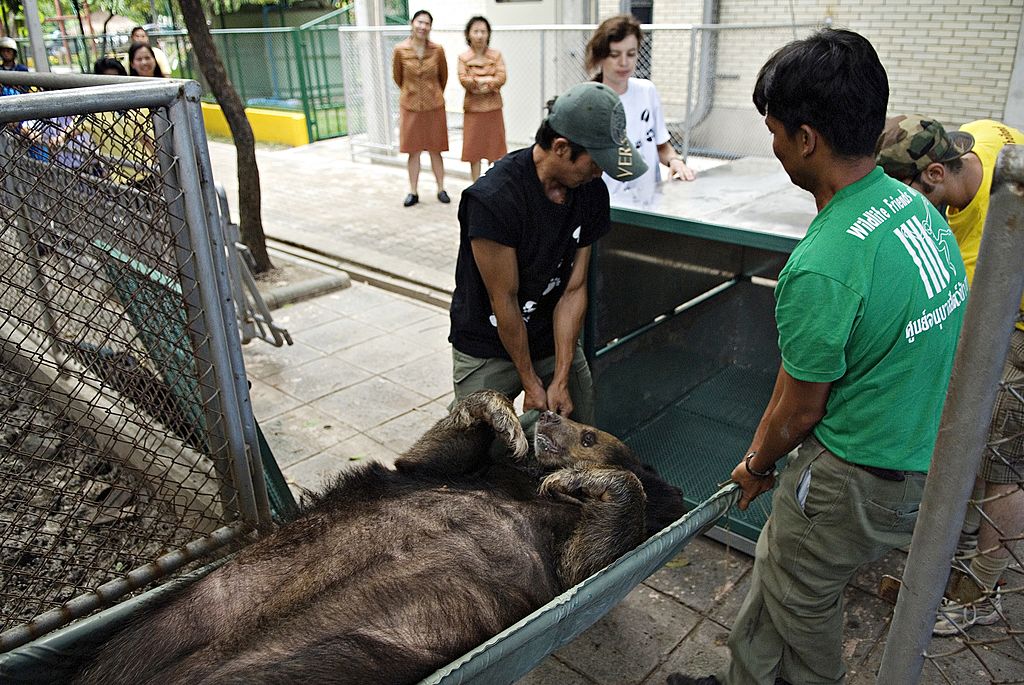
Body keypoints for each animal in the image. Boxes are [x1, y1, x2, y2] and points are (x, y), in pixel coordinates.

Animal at [77, 389, 688, 683]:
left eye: (589, 436)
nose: (551, 415)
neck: (527, 488)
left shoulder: (566, 553)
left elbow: (587, 559)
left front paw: (586, 480)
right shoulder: (468, 472)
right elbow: (423, 459)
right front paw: (498, 412)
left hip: (329, 659)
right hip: (200, 607)